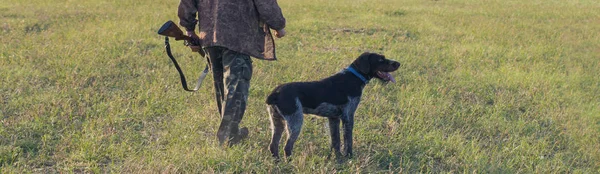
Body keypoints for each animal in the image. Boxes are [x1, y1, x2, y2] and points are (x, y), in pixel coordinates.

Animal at [266, 52, 398, 159]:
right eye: (380, 59)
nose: (398, 63)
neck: (354, 77)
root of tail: (276, 92)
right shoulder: (348, 117)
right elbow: (348, 140)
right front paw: (349, 156)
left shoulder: (334, 118)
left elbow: (336, 141)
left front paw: (338, 157)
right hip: (295, 122)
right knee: (287, 147)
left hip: (277, 122)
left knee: (273, 145)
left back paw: (278, 162)